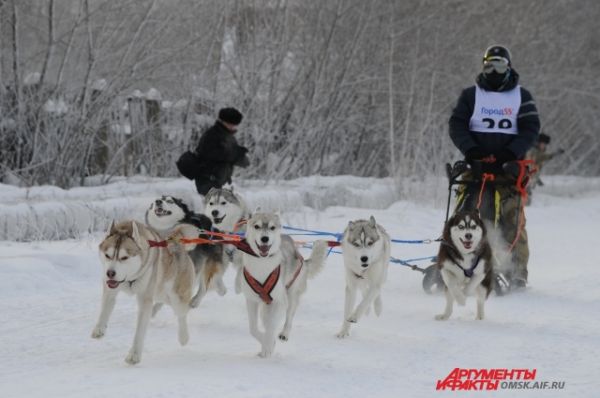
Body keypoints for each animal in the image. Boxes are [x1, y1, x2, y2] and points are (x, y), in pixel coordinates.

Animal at [91, 221, 196, 364]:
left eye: (124, 257)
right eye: (108, 255)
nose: (110, 273)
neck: (129, 279)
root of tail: (176, 242)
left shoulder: (145, 299)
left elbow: (140, 331)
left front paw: (134, 355)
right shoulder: (110, 291)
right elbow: (104, 310)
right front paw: (99, 329)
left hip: (176, 297)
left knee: (182, 314)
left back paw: (183, 337)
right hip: (161, 294)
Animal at [239, 211, 328, 358]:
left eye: (272, 227)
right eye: (257, 226)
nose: (264, 238)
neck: (262, 266)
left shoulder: (279, 302)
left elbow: (271, 326)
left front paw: (268, 347)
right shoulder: (251, 300)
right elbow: (253, 328)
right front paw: (266, 345)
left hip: (291, 296)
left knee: (288, 317)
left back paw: (284, 334)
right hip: (266, 306)